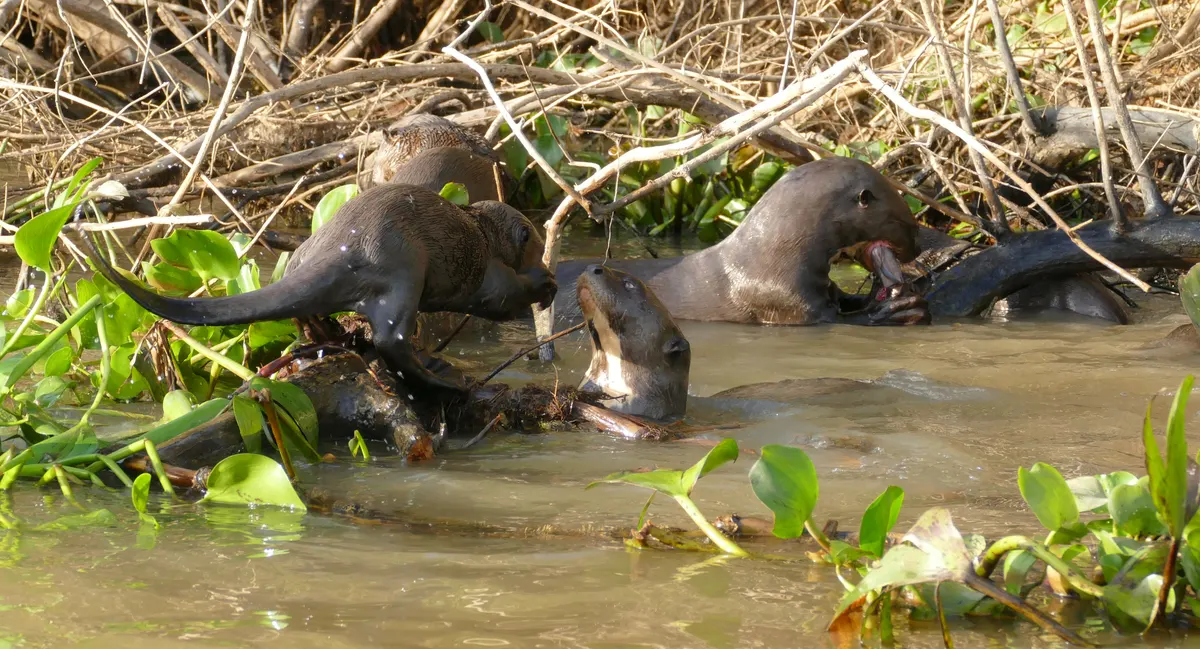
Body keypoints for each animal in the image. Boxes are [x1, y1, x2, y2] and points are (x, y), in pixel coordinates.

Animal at [83, 184, 557, 394]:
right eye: (532, 239)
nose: (543, 264)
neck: (483, 233)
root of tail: (345, 245)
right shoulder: (487, 270)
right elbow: (499, 297)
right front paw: (545, 282)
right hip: (403, 270)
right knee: (391, 338)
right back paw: (447, 379)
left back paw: (332, 337)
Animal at [553, 157, 929, 326]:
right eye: (907, 222)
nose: (919, 246)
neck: (769, 260)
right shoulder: (787, 302)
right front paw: (896, 307)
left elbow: (843, 299)